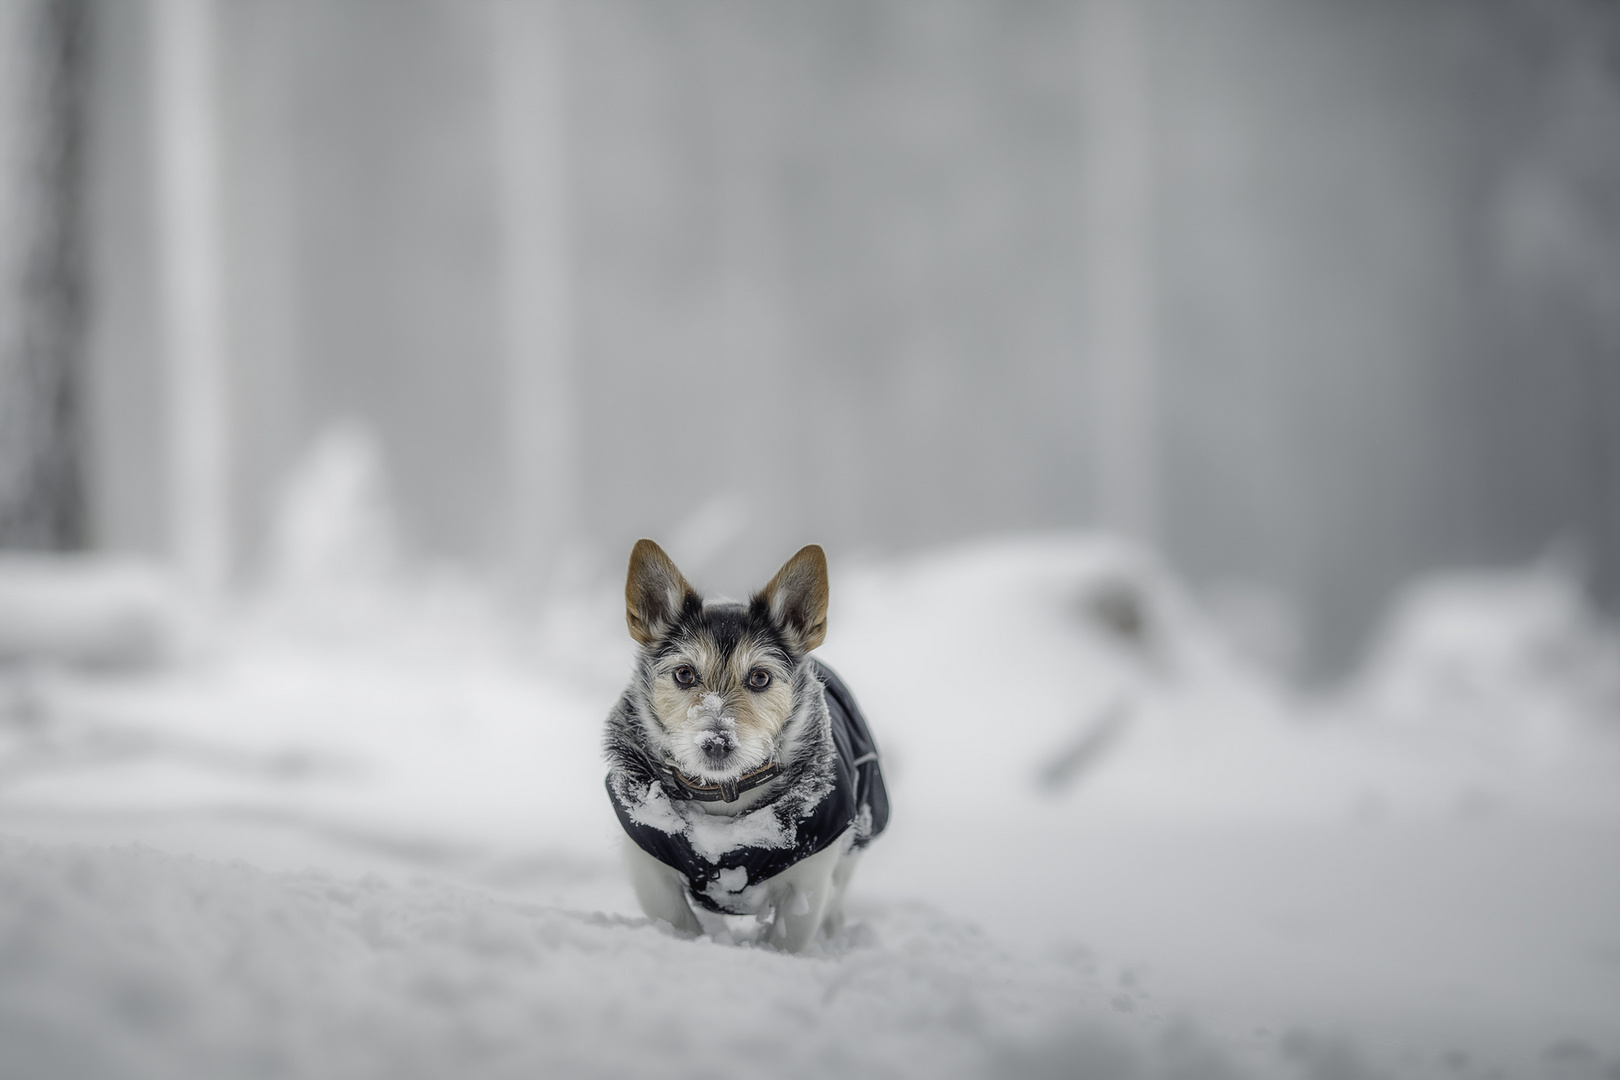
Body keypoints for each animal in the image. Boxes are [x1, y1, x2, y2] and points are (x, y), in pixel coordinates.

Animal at [605, 540, 894, 952]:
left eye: (759, 677)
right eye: (684, 673)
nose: (716, 742)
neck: (725, 797)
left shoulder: (807, 882)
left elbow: (785, 942)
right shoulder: (651, 871)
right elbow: (679, 924)